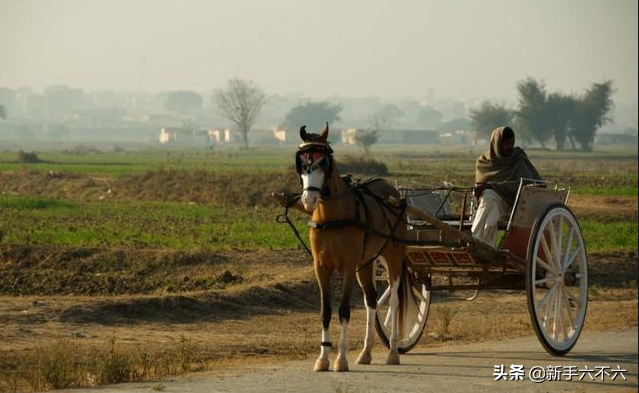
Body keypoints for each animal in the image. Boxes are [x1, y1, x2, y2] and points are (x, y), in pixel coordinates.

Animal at [292, 122, 408, 370]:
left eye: (323, 162)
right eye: (302, 162)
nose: (309, 200)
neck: (333, 217)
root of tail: (393, 193)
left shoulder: (347, 266)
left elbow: (344, 310)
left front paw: (340, 359)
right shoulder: (321, 267)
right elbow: (325, 311)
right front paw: (322, 359)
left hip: (393, 257)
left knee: (393, 301)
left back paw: (393, 352)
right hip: (366, 264)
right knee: (371, 299)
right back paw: (366, 352)